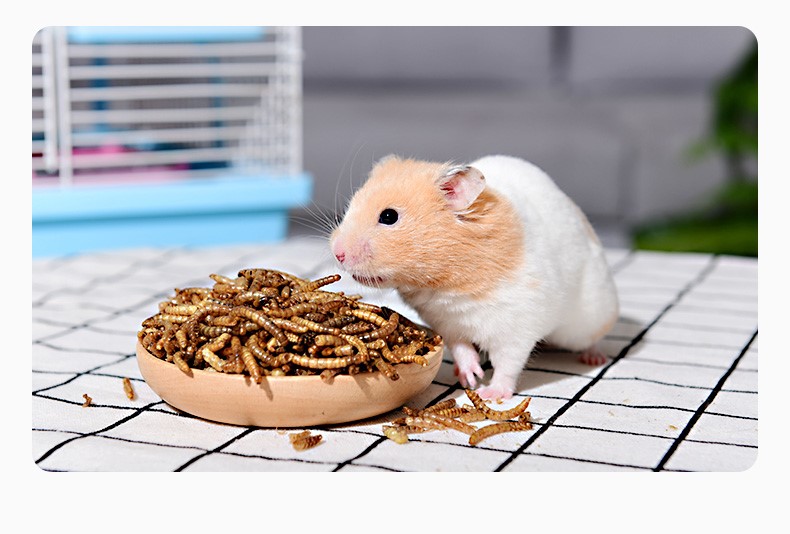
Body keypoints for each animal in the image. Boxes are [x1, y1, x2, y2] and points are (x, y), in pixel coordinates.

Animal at [329, 154, 619, 400]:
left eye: (389, 216)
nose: (337, 253)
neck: (444, 283)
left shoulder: (516, 325)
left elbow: (507, 363)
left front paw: (489, 394)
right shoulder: (447, 322)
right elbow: (461, 348)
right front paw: (470, 377)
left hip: (590, 318)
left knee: (594, 338)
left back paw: (594, 359)